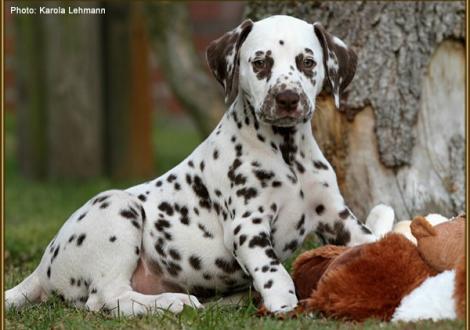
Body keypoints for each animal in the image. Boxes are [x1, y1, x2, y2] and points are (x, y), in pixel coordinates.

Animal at [6, 14, 390, 314]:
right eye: (260, 63)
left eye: (307, 62)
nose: (287, 99)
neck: (286, 152)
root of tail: (41, 268)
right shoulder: (248, 227)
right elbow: (275, 272)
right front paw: (284, 307)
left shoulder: (337, 217)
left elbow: (371, 242)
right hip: (117, 208)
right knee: (106, 299)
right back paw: (173, 303)